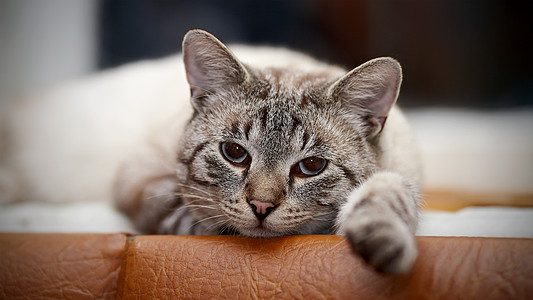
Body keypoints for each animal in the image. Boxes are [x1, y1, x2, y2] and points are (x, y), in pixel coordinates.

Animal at [114, 28, 422, 274]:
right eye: (234, 152)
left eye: (312, 166)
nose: (261, 206)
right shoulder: (144, 187)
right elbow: (188, 217)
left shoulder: (398, 172)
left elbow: (389, 194)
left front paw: (383, 240)